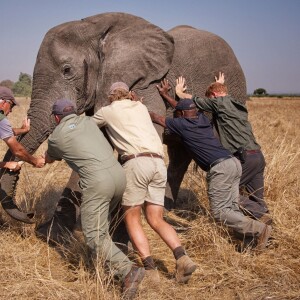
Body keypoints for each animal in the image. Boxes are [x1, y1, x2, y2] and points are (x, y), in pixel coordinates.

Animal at [0, 11, 246, 243]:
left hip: (233, 91)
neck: (96, 28)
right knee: (179, 155)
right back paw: (163, 211)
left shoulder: (146, 86)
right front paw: (52, 236)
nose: (30, 215)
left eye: (67, 70)